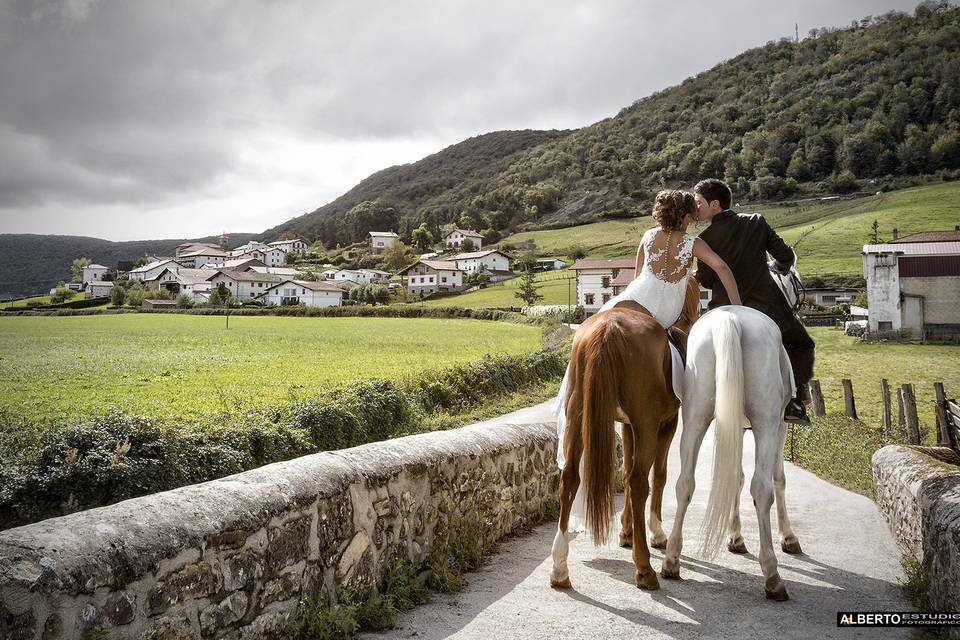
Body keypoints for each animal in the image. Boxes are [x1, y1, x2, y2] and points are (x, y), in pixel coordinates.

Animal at [552, 278, 700, 592]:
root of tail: (608, 329)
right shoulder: (663, 424)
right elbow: (657, 476)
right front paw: (654, 533)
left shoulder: (627, 426)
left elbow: (627, 466)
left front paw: (627, 531)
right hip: (647, 425)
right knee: (638, 481)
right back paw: (644, 568)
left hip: (577, 417)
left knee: (569, 477)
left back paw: (559, 568)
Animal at [660, 304, 804, 600]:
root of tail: (729, 318)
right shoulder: (780, 425)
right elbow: (778, 479)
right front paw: (788, 536)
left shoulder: (734, 425)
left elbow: (734, 477)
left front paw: (736, 537)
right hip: (766, 422)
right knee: (762, 488)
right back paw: (772, 575)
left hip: (695, 418)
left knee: (684, 484)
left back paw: (671, 560)